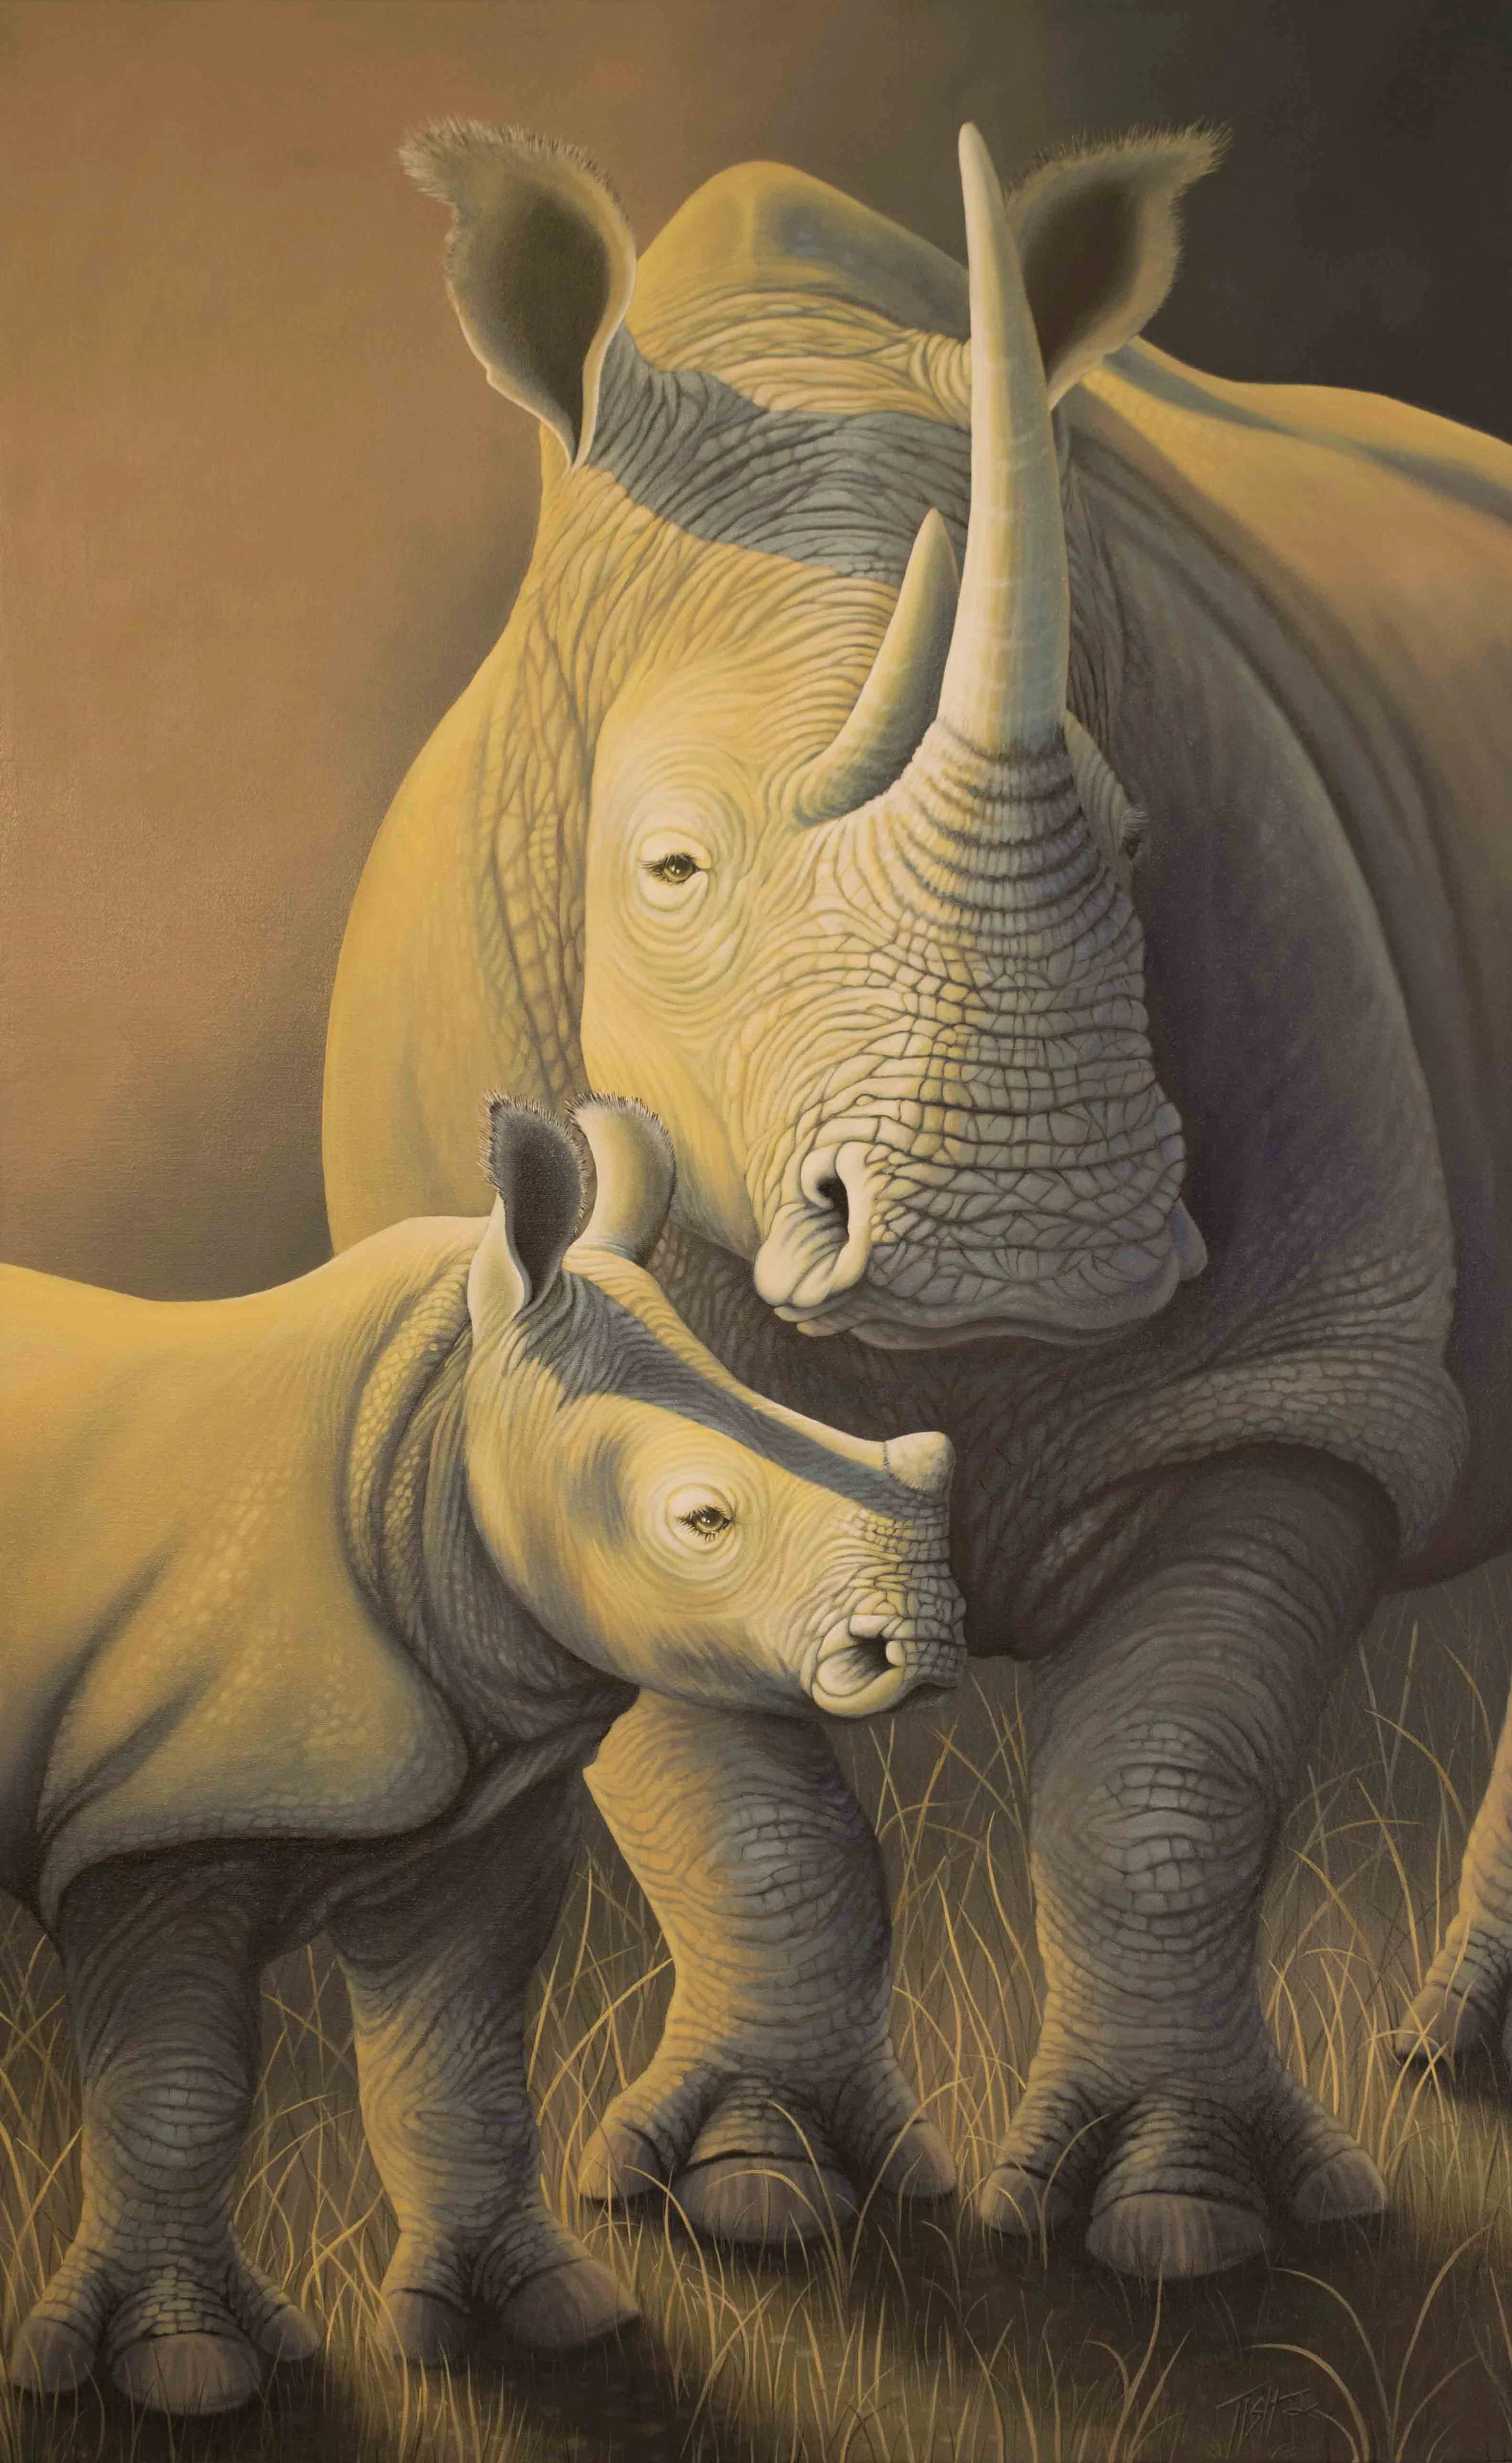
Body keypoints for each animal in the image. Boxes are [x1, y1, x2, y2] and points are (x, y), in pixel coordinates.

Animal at [0, 1097, 962, 2414]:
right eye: (700, 1520)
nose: (925, 1639)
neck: (428, 1422)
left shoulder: (486, 1798)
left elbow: (462, 2059)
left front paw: (548, 2314)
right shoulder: (151, 1818)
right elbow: (180, 2090)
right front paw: (186, 2373)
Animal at [322, 118, 1512, 2281]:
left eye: (1133, 834)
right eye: (668, 870)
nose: (1011, 1241)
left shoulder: (1302, 1369)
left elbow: (1163, 1779)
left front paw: (1177, 2221)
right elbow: (727, 1797)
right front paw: (746, 2197)